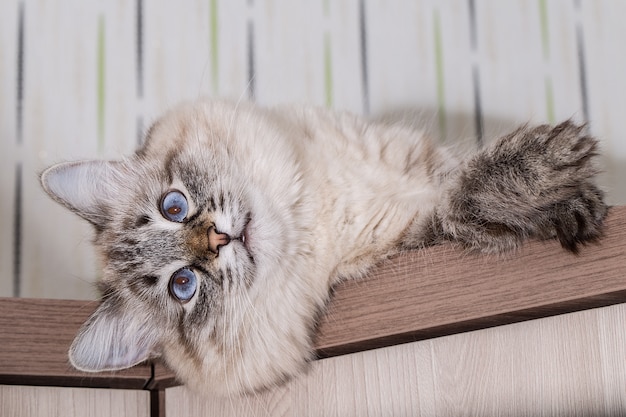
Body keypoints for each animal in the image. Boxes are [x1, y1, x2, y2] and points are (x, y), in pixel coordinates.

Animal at [40, 99, 604, 394]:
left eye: (173, 206)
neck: (313, 209)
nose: (220, 238)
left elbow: (461, 175)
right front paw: (555, 172)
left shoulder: (419, 162)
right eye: (184, 285)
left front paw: (579, 196)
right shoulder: (415, 240)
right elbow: (461, 200)